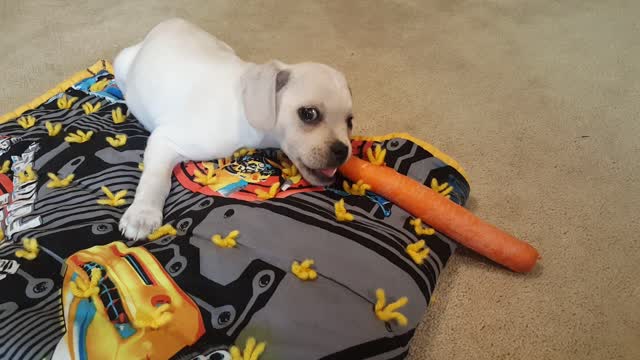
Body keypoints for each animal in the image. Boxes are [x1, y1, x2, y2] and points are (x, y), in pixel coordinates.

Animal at [115, 19, 356, 239]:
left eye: (350, 122)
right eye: (308, 114)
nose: (343, 151)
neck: (244, 104)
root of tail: (167, 22)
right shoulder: (164, 139)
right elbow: (155, 179)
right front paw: (143, 215)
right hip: (121, 62)